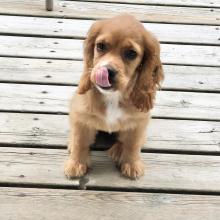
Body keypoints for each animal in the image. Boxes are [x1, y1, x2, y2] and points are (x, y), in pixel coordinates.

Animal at [63, 13, 163, 179]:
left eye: (131, 53)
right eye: (100, 46)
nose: (106, 71)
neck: (113, 97)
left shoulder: (139, 122)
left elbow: (132, 144)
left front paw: (131, 164)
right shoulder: (81, 117)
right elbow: (80, 142)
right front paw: (76, 164)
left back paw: (118, 150)